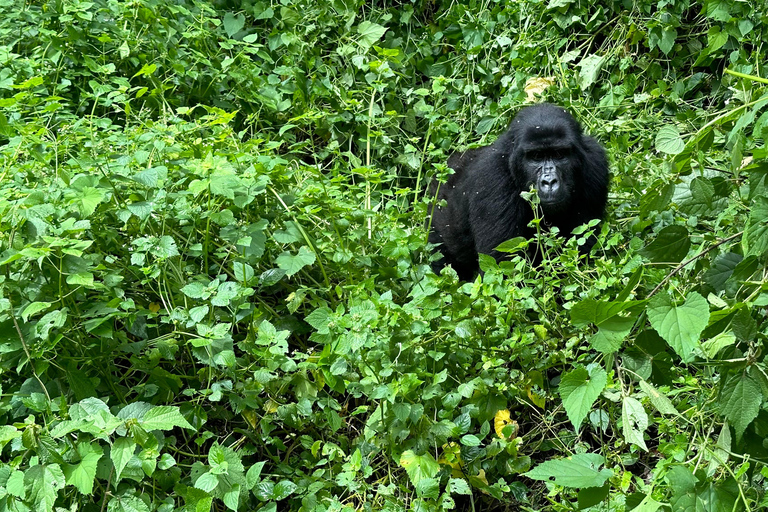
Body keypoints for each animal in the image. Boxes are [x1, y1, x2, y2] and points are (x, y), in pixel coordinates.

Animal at [428, 104, 608, 280]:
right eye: (536, 156)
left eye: (559, 154)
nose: (549, 182)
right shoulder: (493, 178)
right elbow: (502, 269)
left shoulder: (595, 162)